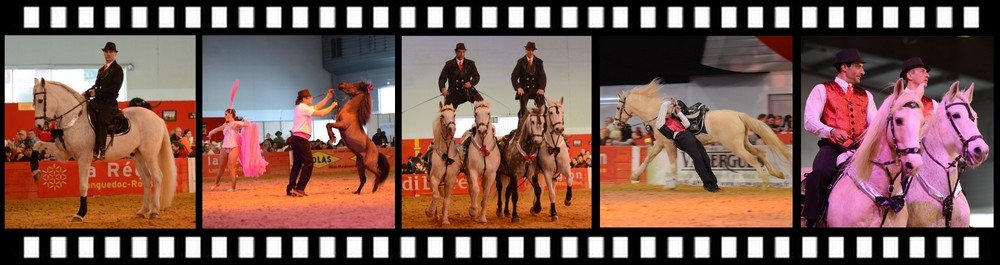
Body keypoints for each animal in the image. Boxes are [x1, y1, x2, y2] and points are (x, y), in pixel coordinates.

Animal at [29, 77, 178, 220]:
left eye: (40, 100)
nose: (39, 126)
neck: (75, 119)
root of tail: (158, 119)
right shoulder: (63, 154)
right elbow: (37, 145)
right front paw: (35, 171)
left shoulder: (84, 158)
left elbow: (83, 186)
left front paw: (81, 213)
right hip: (138, 156)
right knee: (147, 179)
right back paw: (142, 211)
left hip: (150, 155)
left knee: (157, 177)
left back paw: (154, 211)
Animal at [612, 77, 792, 187]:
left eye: (619, 107)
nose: (616, 123)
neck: (658, 113)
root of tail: (738, 115)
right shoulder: (661, 144)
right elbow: (648, 158)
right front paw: (635, 176)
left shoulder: (668, 144)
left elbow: (671, 163)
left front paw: (672, 183)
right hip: (744, 142)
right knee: (760, 153)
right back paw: (777, 174)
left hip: (735, 146)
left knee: (753, 158)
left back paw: (766, 182)